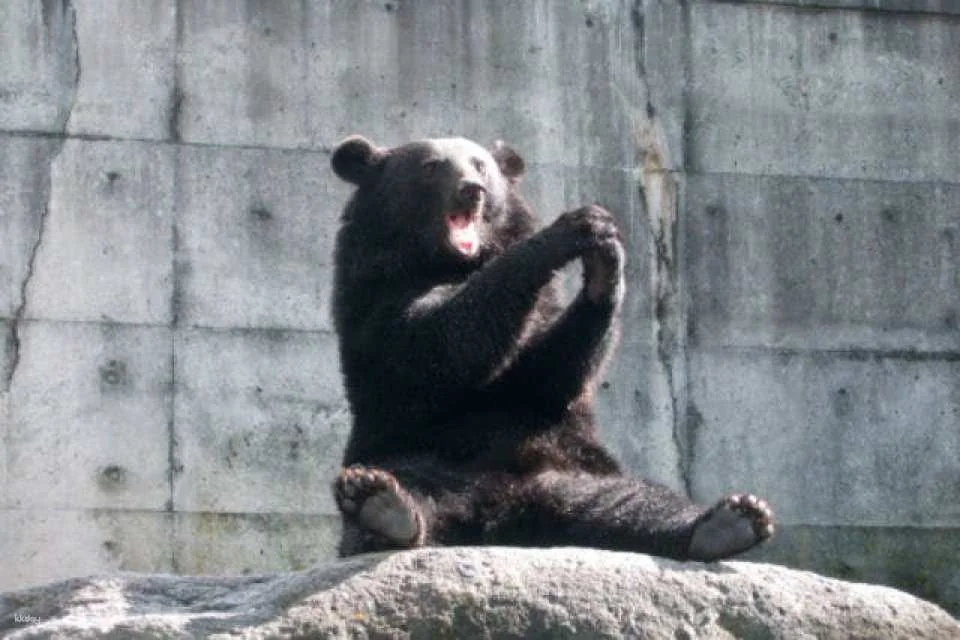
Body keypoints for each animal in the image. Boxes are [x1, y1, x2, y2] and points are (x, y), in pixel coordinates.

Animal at [329, 134, 774, 561]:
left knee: (637, 501)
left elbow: (545, 374)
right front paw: (574, 228)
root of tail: (508, 510)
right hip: (416, 451)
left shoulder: (540, 334)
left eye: (480, 165)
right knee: (410, 482)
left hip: (576, 471)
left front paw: (605, 263)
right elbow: (431, 345)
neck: (450, 261)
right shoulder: (377, 295)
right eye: (432, 166)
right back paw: (383, 507)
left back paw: (730, 521)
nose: (471, 191)